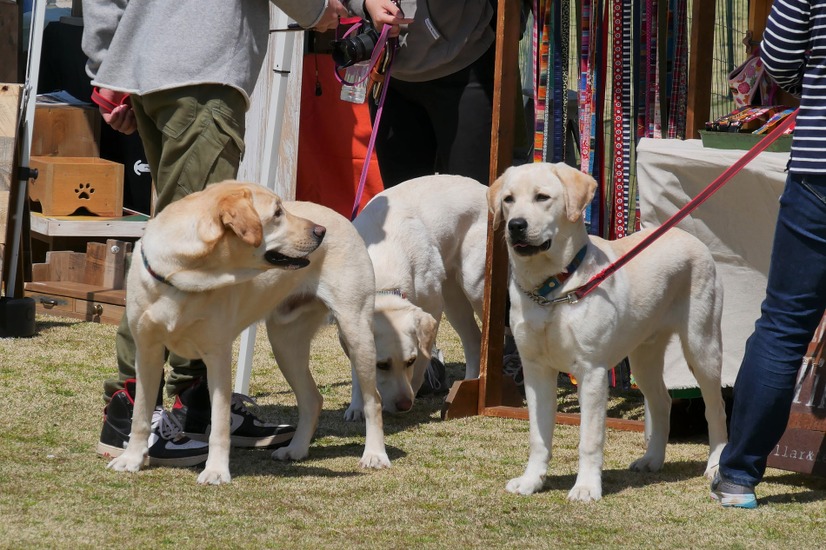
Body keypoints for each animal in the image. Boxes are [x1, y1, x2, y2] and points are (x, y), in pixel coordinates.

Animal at [107, 183, 390, 486]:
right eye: (277, 213)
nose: (320, 231)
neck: (181, 275)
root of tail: (342, 217)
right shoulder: (146, 350)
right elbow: (140, 413)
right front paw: (131, 459)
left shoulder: (217, 355)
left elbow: (219, 423)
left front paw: (216, 471)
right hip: (285, 345)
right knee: (312, 400)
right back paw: (296, 449)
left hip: (356, 331)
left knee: (374, 400)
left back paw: (375, 454)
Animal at [350, 176, 490, 414]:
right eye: (381, 365)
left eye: (410, 361)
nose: (404, 405)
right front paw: (357, 407)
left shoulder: (431, 312)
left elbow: (420, 367)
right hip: (453, 299)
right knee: (473, 341)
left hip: (475, 287)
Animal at [486, 162, 724, 502]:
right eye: (508, 199)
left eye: (542, 197)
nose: (516, 225)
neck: (552, 289)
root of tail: (687, 235)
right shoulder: (535, 370)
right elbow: (538, 436)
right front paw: (531, 481)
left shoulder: (591, 372)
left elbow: (589, 439)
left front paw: (586, 488)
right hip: (643, 357)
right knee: (662, 401)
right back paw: (652, 459)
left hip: (702, 347)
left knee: (715, 409)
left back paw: (716, 465)